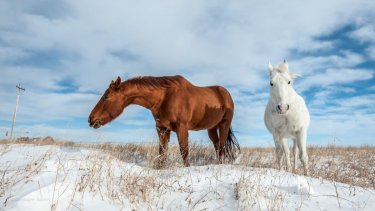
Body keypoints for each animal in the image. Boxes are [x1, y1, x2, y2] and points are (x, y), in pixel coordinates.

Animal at [89, 75, 241, 167]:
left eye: (106, 97)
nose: (91, 119)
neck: (164, 97)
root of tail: (225, 93)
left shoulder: (182, 128)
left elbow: (184, 151)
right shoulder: (162, 129)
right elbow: (162, 152)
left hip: (224, 125)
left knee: (221, 146)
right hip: (211, 128)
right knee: (217, 145)